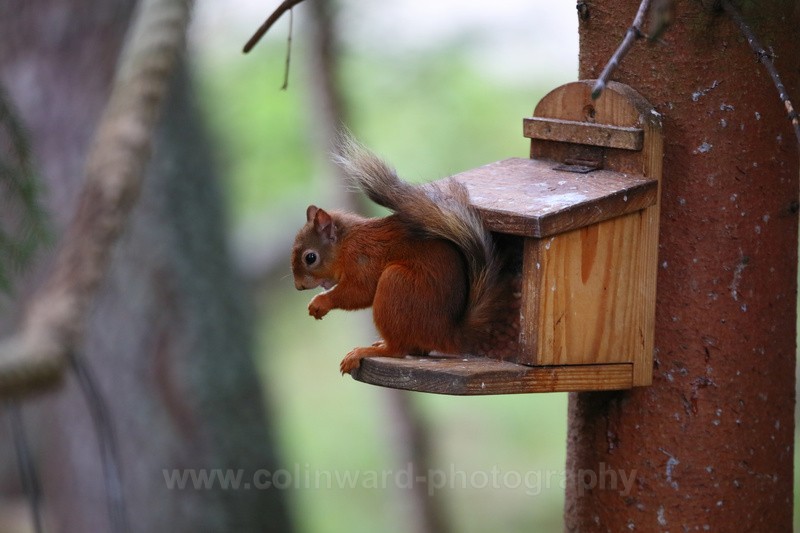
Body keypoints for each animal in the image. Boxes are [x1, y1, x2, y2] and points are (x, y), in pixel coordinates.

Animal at [291, 136, 514, 374]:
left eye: (310, 258)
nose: (299, 286)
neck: (345, 245)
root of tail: (447, 334)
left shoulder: (363, 259)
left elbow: (359, 292)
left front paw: (321, 302)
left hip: (395, 285)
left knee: (398, 350)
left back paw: (368, 351)